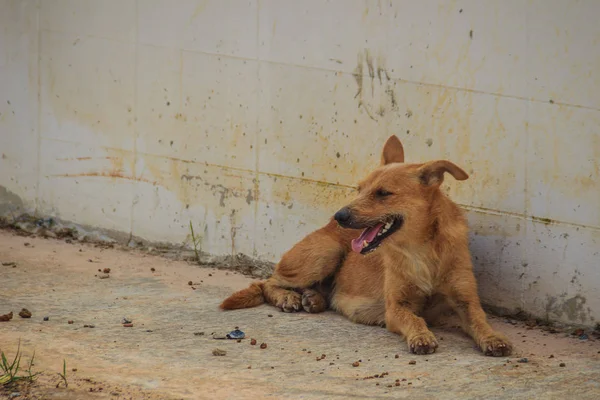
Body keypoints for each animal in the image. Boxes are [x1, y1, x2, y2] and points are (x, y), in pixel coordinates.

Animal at [223, 137, 512, 356]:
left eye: (383, 193)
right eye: (359, 189)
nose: (340, 216)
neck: (422, 248)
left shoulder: (466, 300)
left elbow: (479, 320)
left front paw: (494, 338)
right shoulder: (395, 308)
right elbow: (414, 318)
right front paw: (421, 336)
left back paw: (313, 298)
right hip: (325, 253)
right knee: (267, 282)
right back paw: (289, 297)